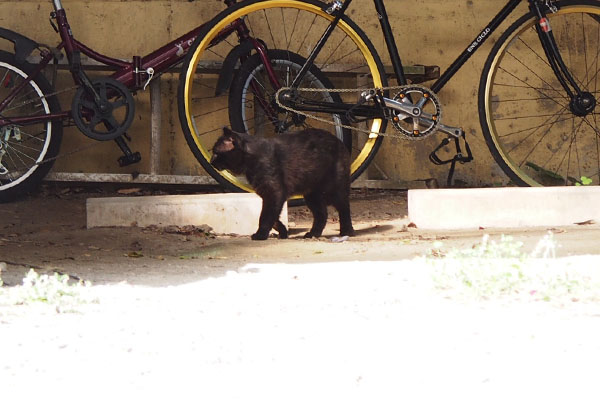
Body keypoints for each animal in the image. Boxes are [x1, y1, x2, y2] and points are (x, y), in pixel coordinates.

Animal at [211, 128, 354, 241]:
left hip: (335, 190)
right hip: (312, 195)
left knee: (344, 209)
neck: (252, 159)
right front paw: (283, 231)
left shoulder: (274, 193)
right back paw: (313, 234)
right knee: (322, 214)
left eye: (216, 153)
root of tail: (339, 141)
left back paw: (347, 231)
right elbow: (273, 218)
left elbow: (265, 216)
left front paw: (261, 234)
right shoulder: (271, 196)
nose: (211, 161)